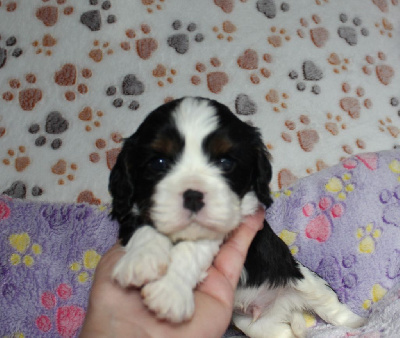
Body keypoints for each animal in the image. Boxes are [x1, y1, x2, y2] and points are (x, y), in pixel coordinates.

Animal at [108, 96, 364, 336]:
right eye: (159, 162)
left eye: (225, 162)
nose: (193, 196)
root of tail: (284, 308)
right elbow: (145, 229)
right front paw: (141, 260)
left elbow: (194, 247)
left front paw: (169, 292)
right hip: (256, 326)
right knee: (283, 332)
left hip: (304, 279)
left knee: (330, 307)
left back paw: (361, 324)